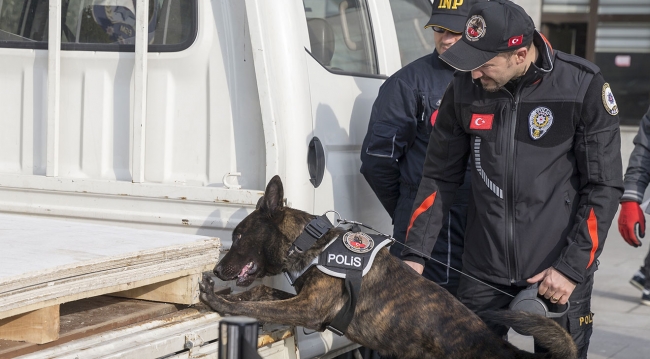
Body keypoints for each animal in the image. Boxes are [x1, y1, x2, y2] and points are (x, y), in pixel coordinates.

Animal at [200, 176, 576, 359]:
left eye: (238, 235)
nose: (217, 271)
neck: (310, 243)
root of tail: (509, 351)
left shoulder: (309, 309)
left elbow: (259, 304)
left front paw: (220, 301)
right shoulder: (304, 301)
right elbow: (262, 293)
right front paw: (227, 297)